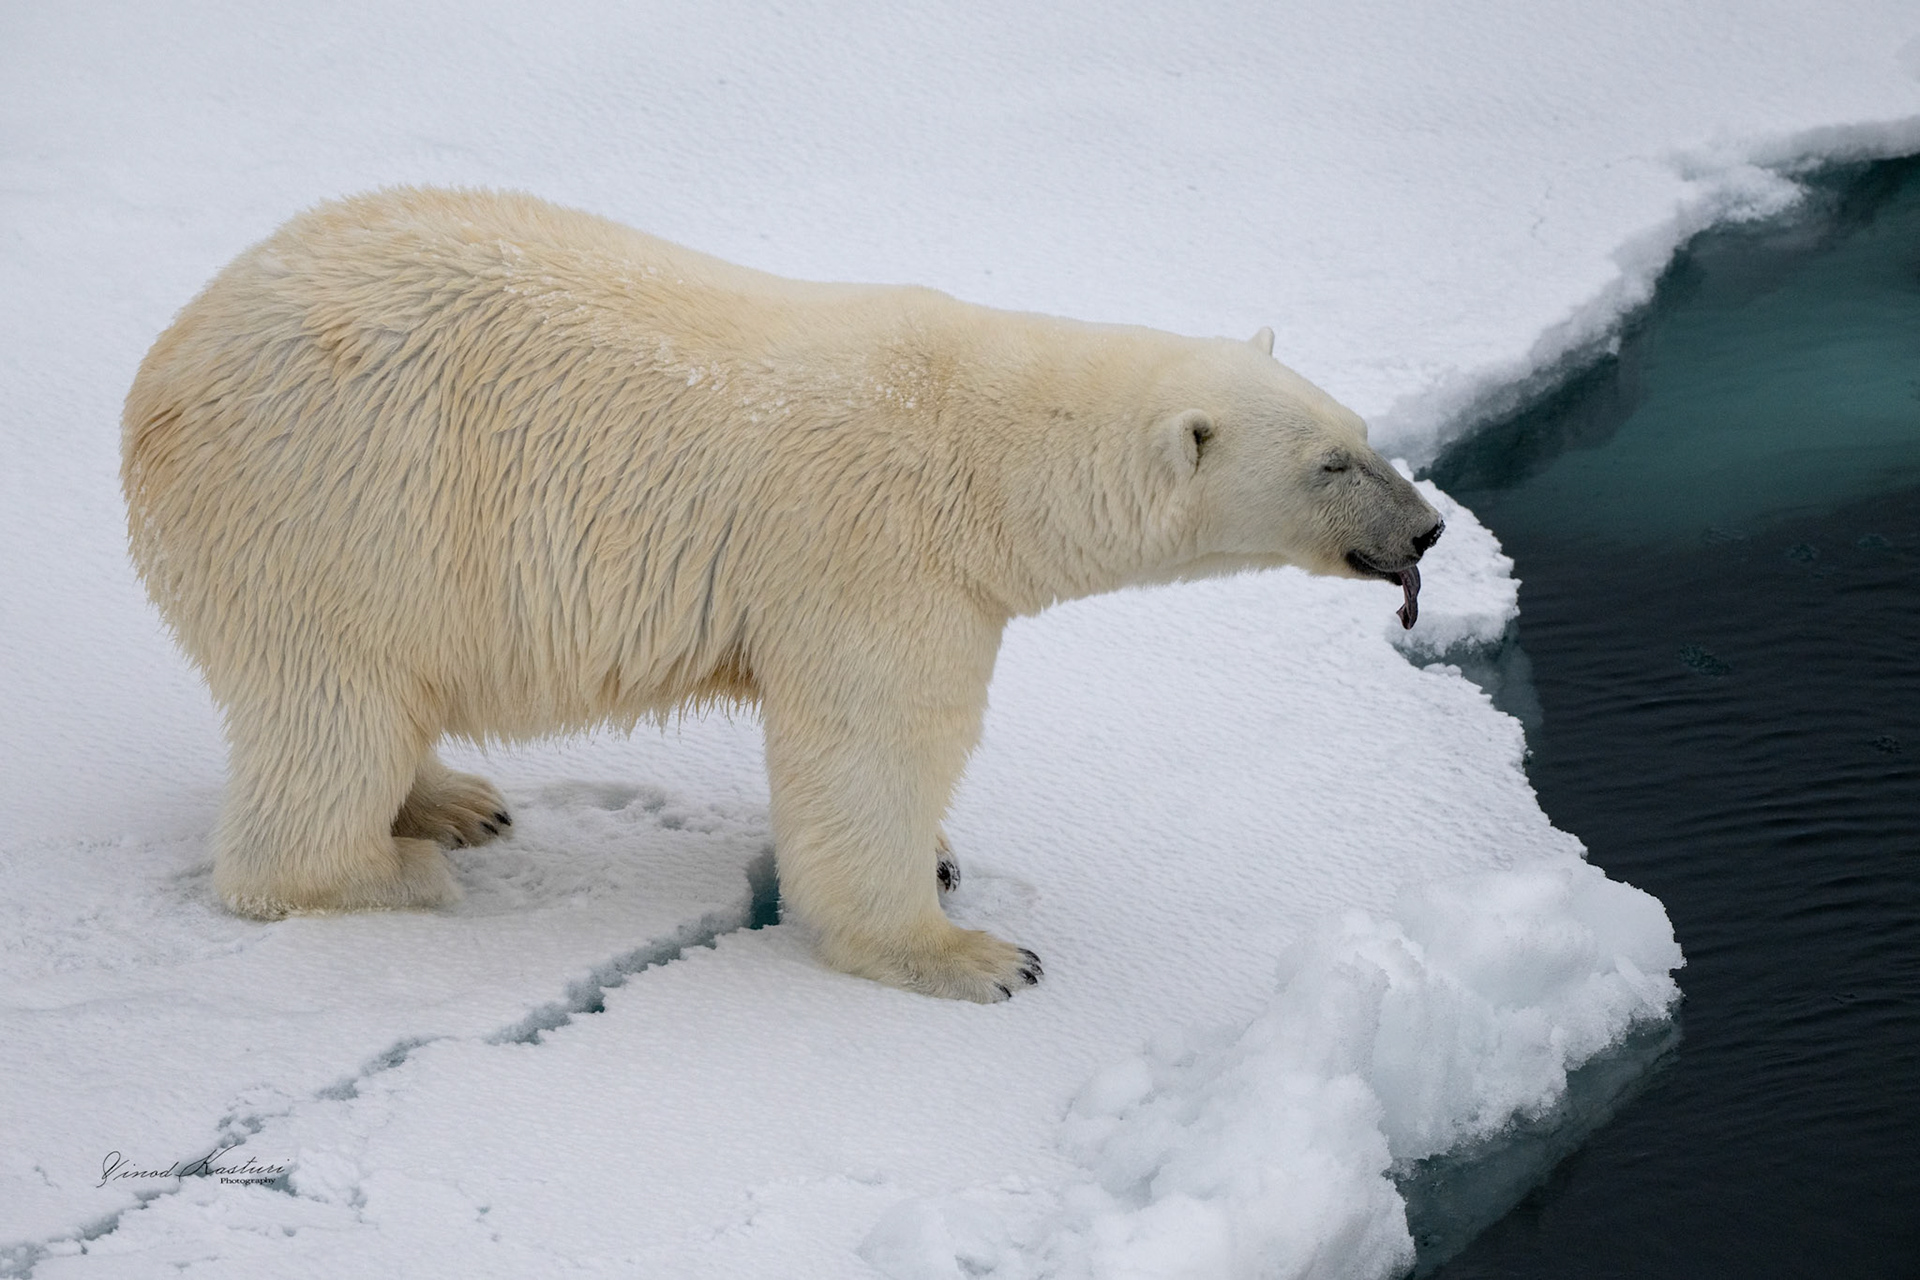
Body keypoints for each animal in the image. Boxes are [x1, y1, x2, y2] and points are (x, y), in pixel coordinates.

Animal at [123, 188, 1442, 1002]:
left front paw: (948, 862)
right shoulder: (880, 556)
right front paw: (975, 952)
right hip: (334, 522)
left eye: (1366, 432)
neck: (984, 449)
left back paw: (455, 800)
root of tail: (158, 381)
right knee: (328, 718)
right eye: (1331, 464)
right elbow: (874, 748)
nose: (1428, 527)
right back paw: (397, 862)